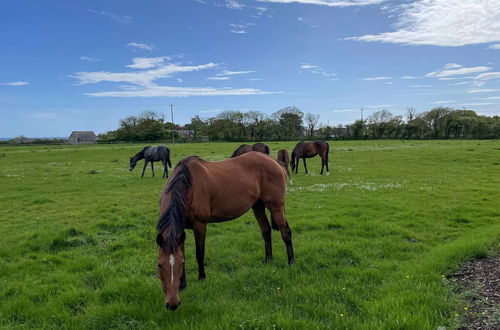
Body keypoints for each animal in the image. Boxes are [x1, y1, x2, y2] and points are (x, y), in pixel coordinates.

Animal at [154, 152, 292, 310]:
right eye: (159, 265)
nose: (172, 304)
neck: (188, 186)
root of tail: (275, 162)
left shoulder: (200, 224)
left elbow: (200, 254)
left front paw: (202, 278)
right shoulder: (180, 231)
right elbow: (183, 252)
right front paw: (183, 284)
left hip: (276, 206)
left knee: (286, 233)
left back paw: (291, 262)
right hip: (257, 205)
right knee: (266, 231)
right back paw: (268, 260)